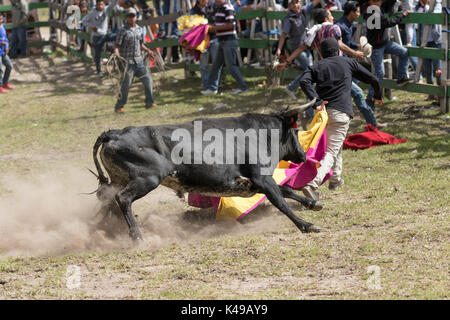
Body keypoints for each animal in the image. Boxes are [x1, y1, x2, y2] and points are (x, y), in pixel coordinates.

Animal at [93, 99, 322, 239]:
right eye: (295, 131)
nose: (302, 156)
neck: (260, 133)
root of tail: (114, 134)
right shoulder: (262, 178)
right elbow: (281, 201)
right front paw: (307, 225)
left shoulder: (255, 183)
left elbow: (287, 190)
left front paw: (313, 203)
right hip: (147, 178)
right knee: (123, 199)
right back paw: (137, 236)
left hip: (119, 180)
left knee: (109, 201)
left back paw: (101, 232)